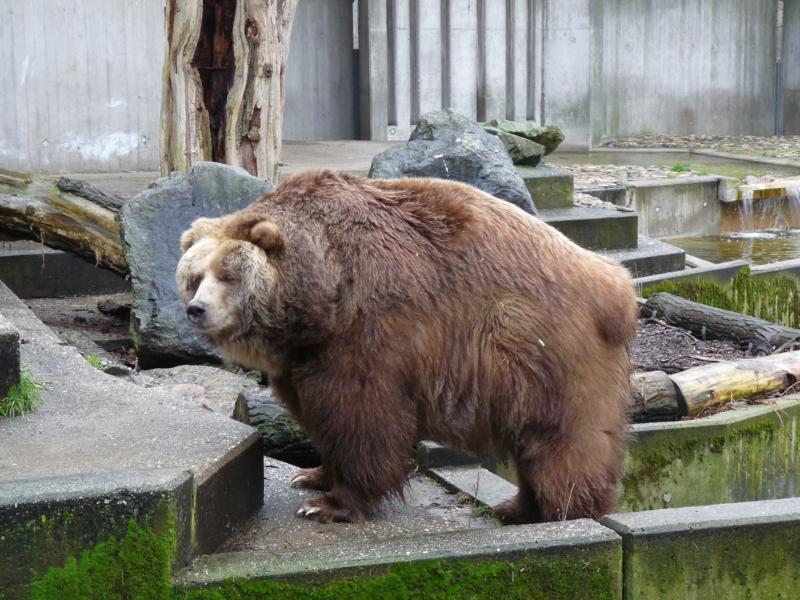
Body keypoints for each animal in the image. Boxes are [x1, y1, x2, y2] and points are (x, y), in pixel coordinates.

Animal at [176, 170, 638, 524]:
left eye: (229, 274)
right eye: (195, 276)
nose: (197, 310)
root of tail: (615, 282)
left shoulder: (367, 332)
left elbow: (362, 417)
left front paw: (329, 505)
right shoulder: (303, 357)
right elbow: (317, 415)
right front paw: (310, 474)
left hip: (542, 347)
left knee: (563, 442)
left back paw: (562, 512)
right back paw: (516, 506)